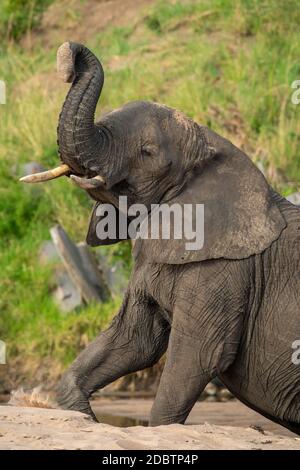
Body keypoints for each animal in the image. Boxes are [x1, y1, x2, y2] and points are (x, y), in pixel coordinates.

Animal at [21, 43, 300, 434]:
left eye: (148, 152)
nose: (67, 62)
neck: (211, 140)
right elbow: (132, 341)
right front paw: (83, 413)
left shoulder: (226, 273)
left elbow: (197, 356)